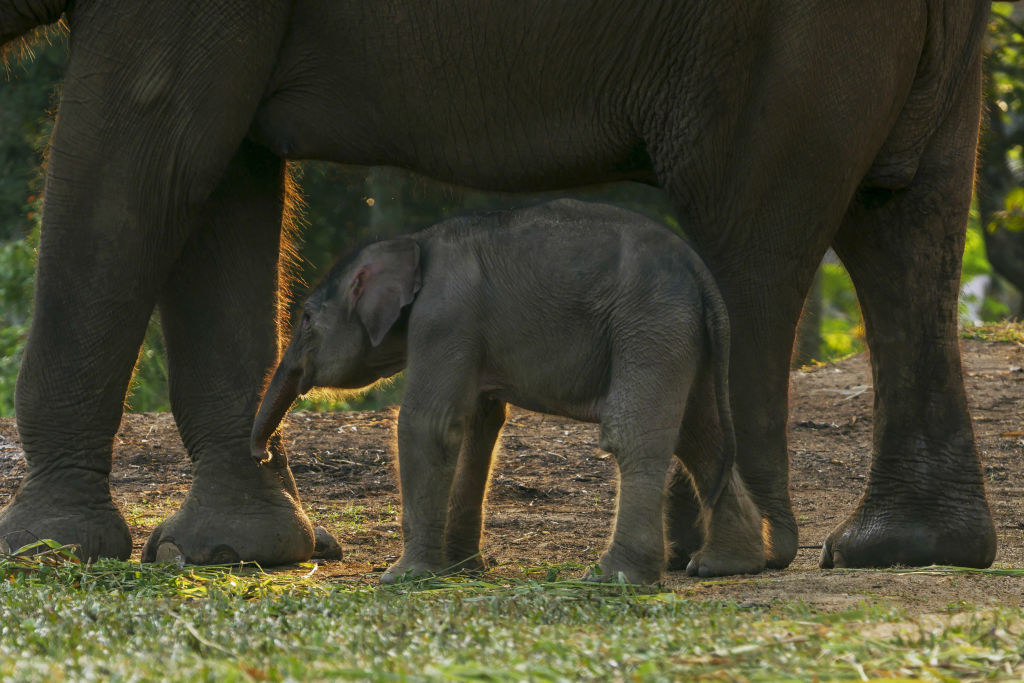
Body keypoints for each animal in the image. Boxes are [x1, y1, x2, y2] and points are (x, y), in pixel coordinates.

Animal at [251, 196, 765, 581]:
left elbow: (429, 424)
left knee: (634, 433)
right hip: (682, 335)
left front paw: (403, 576)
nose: (261, 452)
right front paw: (461, 568)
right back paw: (721, 566)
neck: (414, 242)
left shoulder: (444, 317)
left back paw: (613, 577)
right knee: (700, 436)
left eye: (306, 318)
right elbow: (478, 426)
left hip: (650, 325)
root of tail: (700, 273)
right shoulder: (469, 335)